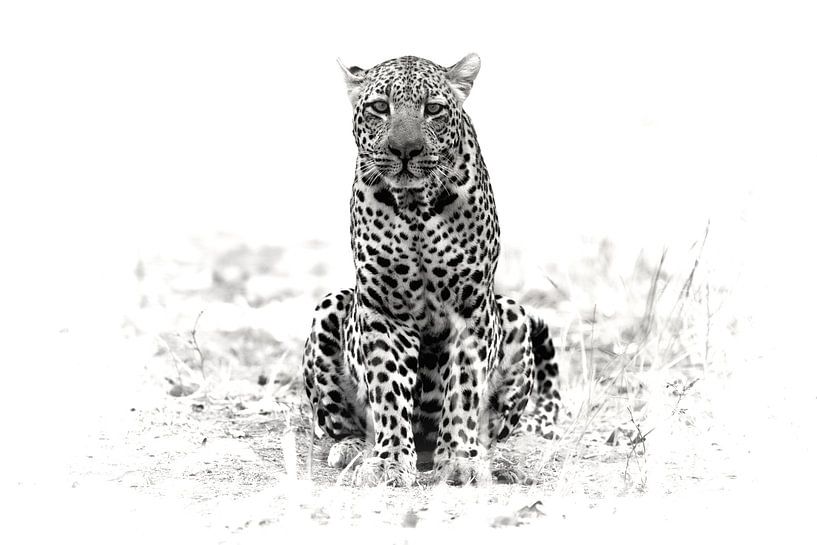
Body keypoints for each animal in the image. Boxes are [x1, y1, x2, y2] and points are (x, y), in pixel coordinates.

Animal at [302, 54, 562, 487]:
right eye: (380, 107)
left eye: (434, 109)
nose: (406, 149)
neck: (416, 207)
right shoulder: (384, 309)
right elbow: (389, 390)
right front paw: (389, 461)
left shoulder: (471, 308)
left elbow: (464, 390)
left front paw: (459, 460)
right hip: (332, 307)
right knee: (341, 424)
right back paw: (353, 451)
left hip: (514, 315)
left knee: (497, 431)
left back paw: (498, 460)